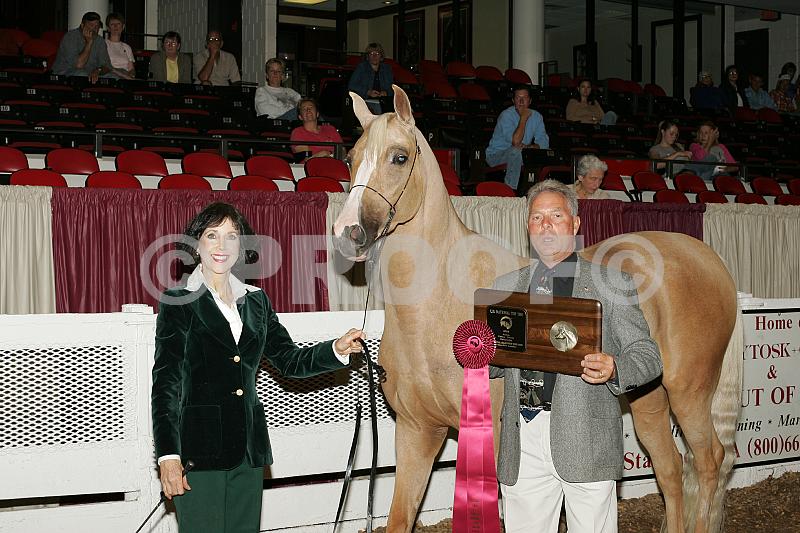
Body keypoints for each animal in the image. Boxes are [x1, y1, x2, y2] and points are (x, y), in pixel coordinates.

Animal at [332, 85, 743, 533]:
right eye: (352, 157)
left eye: (399, 157)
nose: (347, 233)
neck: (433, 307)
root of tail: (708, 259)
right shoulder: (416, 432)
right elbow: (399, 517)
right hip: (647, 397)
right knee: (671, 468)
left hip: (689, 393)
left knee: (708, 461)